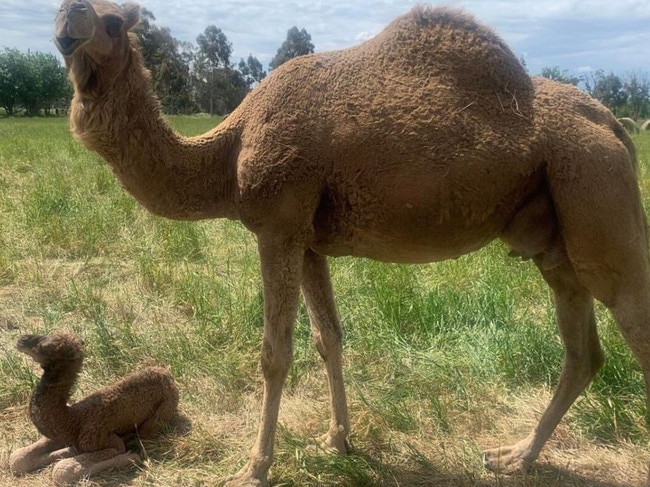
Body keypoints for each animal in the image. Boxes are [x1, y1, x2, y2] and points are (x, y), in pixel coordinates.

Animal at [8, 332, 180, 484]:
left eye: (46, 346)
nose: (22, 340)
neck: (73, 420)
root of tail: (168, 376)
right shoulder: (64, 436)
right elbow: (17, 458)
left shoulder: (106, 440)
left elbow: (62, 469)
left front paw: (132, 456)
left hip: (160, 415)